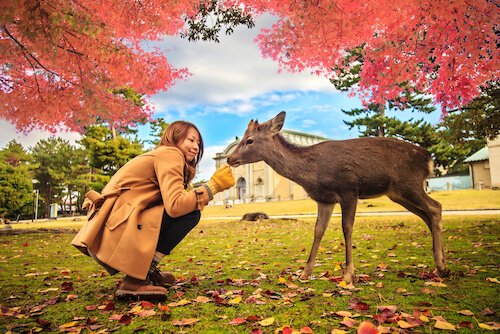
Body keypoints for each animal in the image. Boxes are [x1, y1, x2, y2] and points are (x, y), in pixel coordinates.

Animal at [227, 111, 450, 282]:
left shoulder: (348, 190)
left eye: (250, 140)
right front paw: (305, 273)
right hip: (398, 193)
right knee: (427, 215)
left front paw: (348, 274)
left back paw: (441, 265)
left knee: (435, 207)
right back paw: (441, 266)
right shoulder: (324, 199)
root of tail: (428, 158)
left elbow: (347, 228)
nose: (229, 158)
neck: (311, 171)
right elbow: (318, 230)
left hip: (409, 183)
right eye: (244, 138)